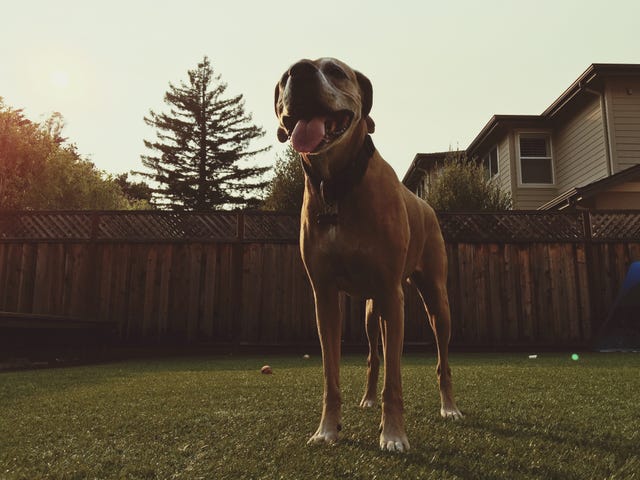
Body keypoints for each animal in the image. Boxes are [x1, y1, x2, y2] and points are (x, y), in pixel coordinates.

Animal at [272, 58, 462, 452]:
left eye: (335, 70)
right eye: (284, 78)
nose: (300, 70)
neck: (337, 186)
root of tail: (426, 205)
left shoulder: (392, 291)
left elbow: (396, 380)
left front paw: (393, 434)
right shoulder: (325, 296)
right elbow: (331, 375)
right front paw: (327, 430)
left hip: (435, 299)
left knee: (441, 358)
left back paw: (449, 407)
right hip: (371, 310)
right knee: (376, 355)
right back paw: (369, 398)